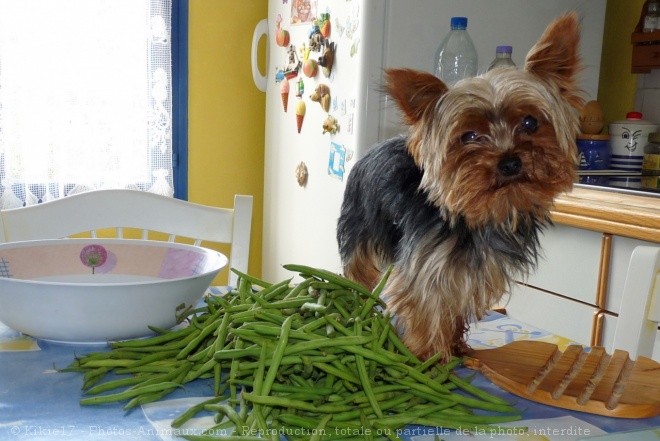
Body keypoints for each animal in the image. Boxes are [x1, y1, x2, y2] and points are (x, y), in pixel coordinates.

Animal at [338, 13, 580, 360]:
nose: (510, 163)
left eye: (530, 122)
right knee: (358, 270)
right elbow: (426, 308)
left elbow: (454, 305)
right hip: (360, 228)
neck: (480, 217)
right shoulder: (426, 267)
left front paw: (454, 346)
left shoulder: (471, 272)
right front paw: (428, 358)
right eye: (469, 136)